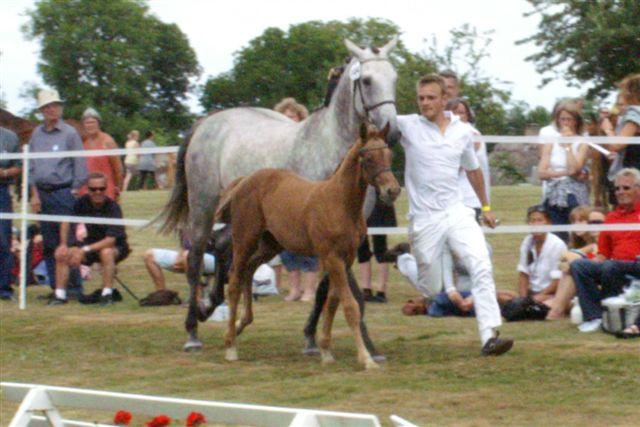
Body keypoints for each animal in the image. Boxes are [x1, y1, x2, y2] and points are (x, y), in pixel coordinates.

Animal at [219, 123, 400, 368]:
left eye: (389, 155)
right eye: (369, 158)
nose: (393, 190)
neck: (340, 203)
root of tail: (245, 180)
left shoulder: (346, 259)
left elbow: (332, 302)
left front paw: (326, 351)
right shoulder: (331, 257)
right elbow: (349, 305)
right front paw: (366, 358)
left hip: (271, 245)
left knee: (249, 269)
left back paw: (241, 323)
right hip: (244, 239)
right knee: (235, 279)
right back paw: (231, 345)